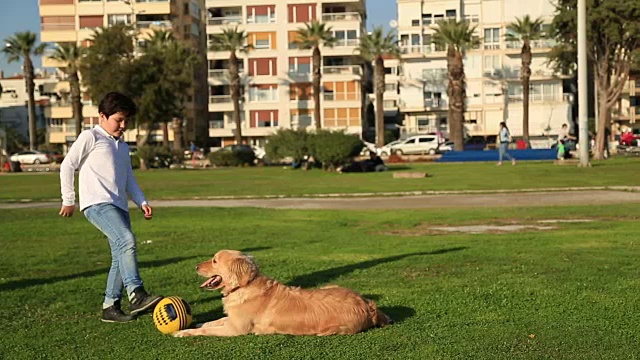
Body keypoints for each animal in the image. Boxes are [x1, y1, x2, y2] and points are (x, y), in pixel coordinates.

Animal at [172, 250, 390, 338]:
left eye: (215, 260)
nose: (195, 266)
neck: (243, 286)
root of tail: (368, 305)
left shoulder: (236, 329)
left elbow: (208, 330)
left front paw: (184, 332)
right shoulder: (232, 320)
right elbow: (213, 321)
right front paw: (198, 323)